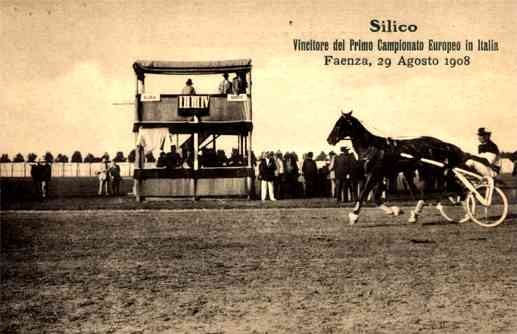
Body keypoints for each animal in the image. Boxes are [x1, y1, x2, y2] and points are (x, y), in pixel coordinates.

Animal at [326, 111, 468, 224]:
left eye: (339, 125)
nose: (329, 139)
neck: (372, 148)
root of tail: (442, 144)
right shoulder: (379, 175)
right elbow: (375, 197)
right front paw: (394, 211)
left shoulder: (374, 174)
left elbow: (364, 193)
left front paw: (354, 216)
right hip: (428, 171)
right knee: (431, 191)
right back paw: (416, 214)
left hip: (435, 170)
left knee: (455, 188)